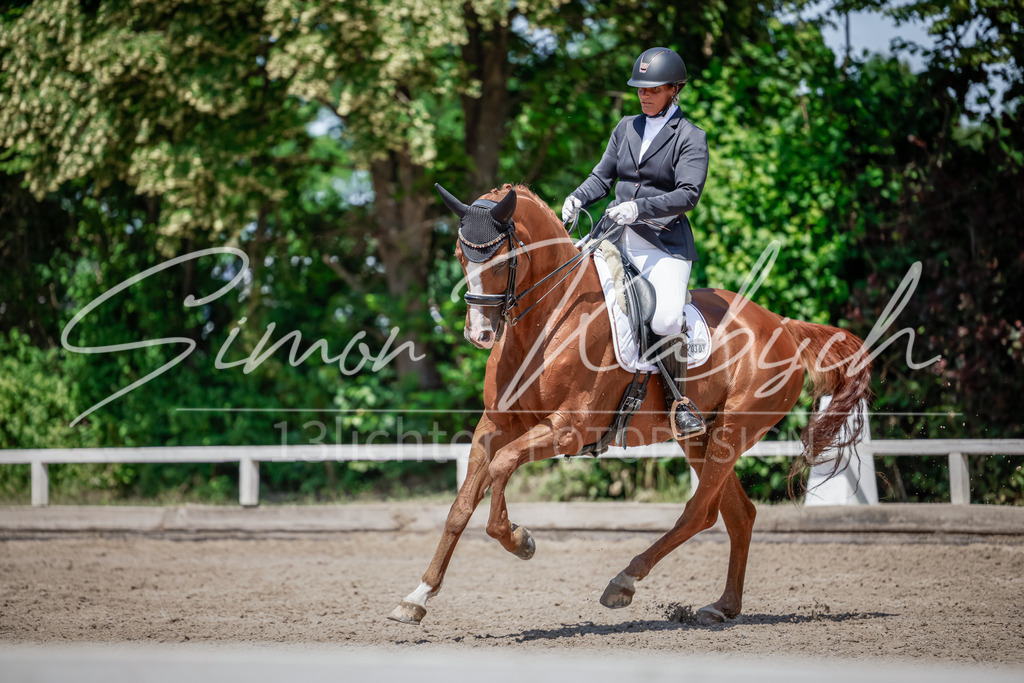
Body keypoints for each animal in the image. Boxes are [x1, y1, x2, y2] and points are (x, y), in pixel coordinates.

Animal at [388, 183, 871, 626]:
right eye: (460, 254)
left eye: (503, 258)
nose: (480, 334)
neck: (547, 321)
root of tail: (783, 325)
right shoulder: (494, 425)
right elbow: (460, 507)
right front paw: (416, 597)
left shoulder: (569, 429)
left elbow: (504, 466)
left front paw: (519, 539)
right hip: (699, 437)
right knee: (738, 514)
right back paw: (723, 607)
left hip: (732, 433)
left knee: (700, 512)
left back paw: (623, 582)